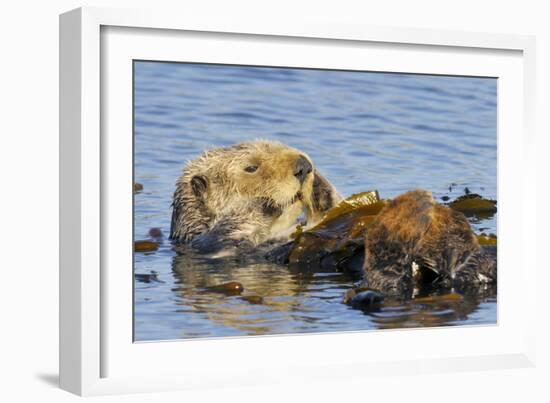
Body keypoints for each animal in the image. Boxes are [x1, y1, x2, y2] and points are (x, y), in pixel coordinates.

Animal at [170, 140, 342, 254]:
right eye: (251, 168)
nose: (304, 166)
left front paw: (318, 185)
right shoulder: (215, 245)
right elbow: (232, 231)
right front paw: (264, 203)